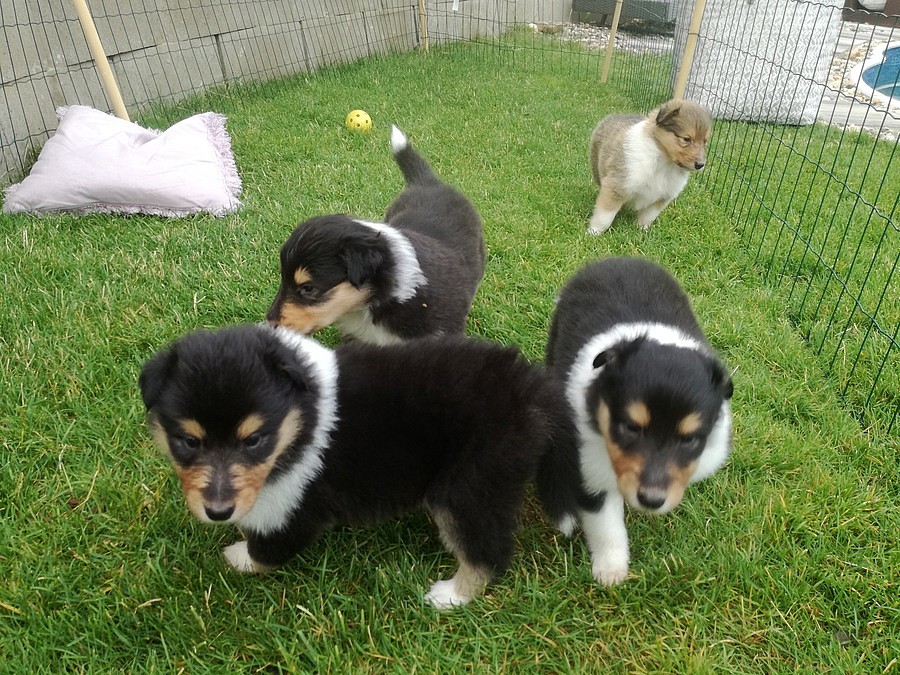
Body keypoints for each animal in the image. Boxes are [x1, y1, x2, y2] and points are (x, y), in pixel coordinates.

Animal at [139, 324, 568, 609]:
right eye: (188, 441)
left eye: (254, 440)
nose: (218, 511)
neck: (301, 417)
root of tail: (533, 392)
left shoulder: (295, 506)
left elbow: (270, 549)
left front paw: (239, 556)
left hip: (469, 486)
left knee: (487, 550)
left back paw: (451, 596)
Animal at [536, 257, 733, 585]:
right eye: (630, 428)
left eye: (689, 439)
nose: (652, 500)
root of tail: (616, 258)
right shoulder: (590, 465)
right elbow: (605, 524)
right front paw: (611, 572)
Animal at [587, 99, 712, 235]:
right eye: (686, 139)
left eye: (705, 141)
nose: (700, 165)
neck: (664, 163)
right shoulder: (617, 186)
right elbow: (604, 216)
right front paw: (593, 232)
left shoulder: (661, 199)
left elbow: (648, 217)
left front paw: (642, 231)